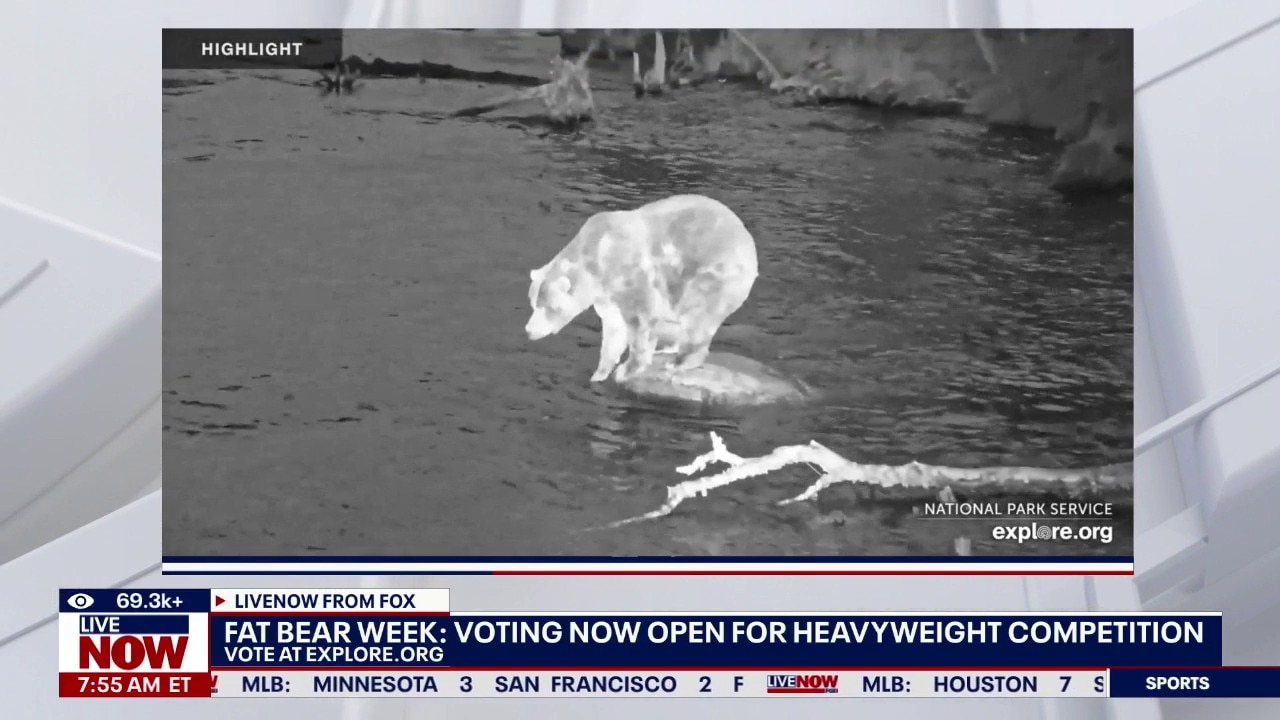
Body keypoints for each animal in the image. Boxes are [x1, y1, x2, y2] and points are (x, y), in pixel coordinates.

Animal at [525, 194, 758, 383]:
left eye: (551, 308)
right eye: (533, 304)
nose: (529, 330)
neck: (595, 259)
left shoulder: (630, 275)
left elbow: (639, 322)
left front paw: (627, 370)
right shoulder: (607, 295)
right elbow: (614, 329)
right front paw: (599, 373)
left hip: (712, 273)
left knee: (697, 316)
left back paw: (680, 361)